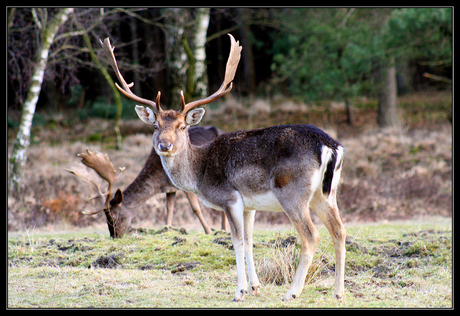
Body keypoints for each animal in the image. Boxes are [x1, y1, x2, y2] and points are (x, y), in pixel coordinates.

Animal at [67, 124, 227, 238]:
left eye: (114, 216)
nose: (114, 235)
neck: (160, 178)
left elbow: (195, 209)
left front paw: (209, 232)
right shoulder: (170, 188)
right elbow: (169, 209)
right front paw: (167, 230)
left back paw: (224, 230)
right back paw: (224, 229)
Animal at [100, 34, 344, 302]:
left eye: (182, 126)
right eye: (156, 126)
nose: (164, 145)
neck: (199, 174)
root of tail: (330, 146)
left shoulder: (229, 198)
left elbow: (236, 242)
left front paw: (239, 292)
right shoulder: (249, 205)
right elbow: (248, 241)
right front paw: (255, 287)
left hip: (293, 192)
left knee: (311, 236)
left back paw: (291, 292)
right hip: (325, 193)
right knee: (339, 231)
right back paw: (338, 292)